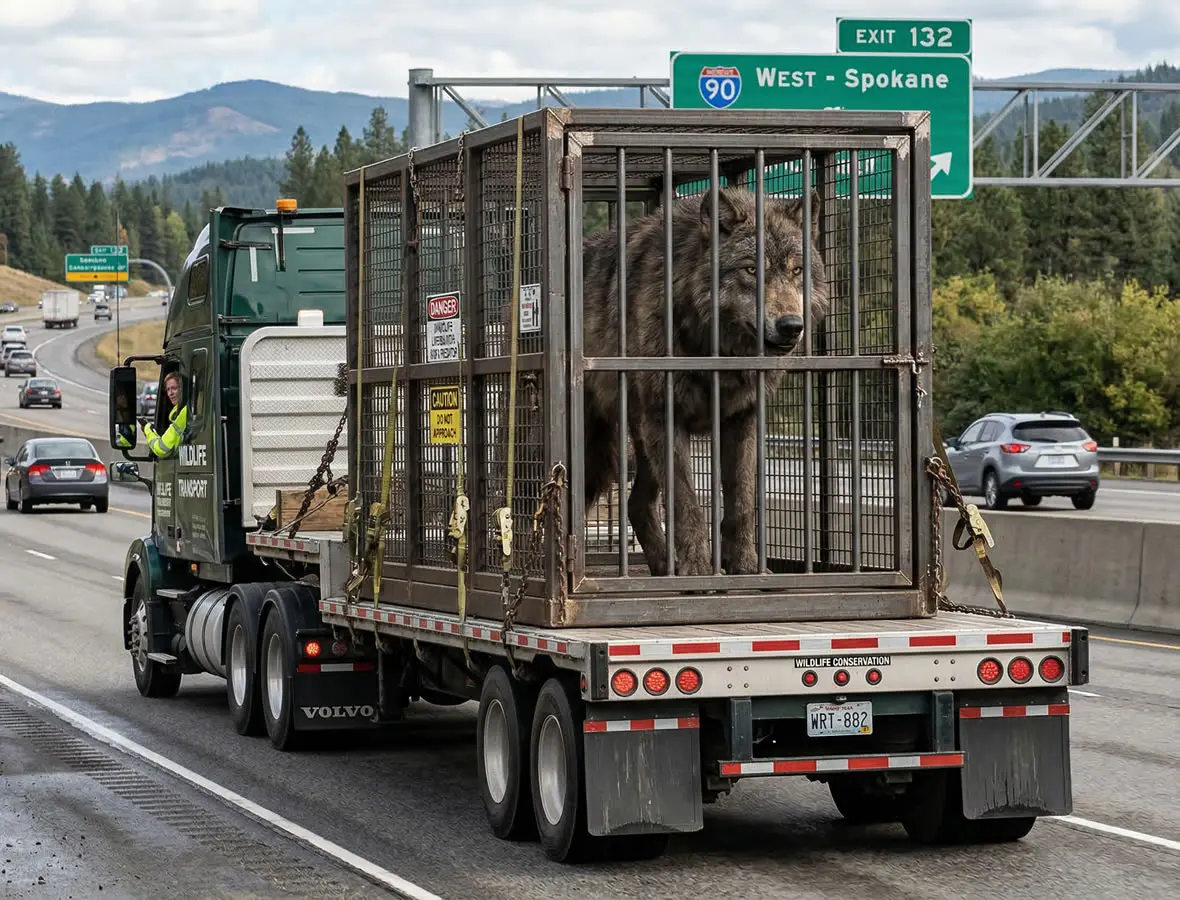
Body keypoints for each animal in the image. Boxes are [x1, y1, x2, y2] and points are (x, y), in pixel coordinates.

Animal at [580, 185, 830, 578]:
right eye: (750, 269)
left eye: (797, 270)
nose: (791, 326)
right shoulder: (666, 420)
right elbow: (687, 505)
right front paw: (698, 570)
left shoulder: (742, 419)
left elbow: (742, 503)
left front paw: (746, 568)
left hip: (640, 438)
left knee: (637, 505)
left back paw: (664, 565)